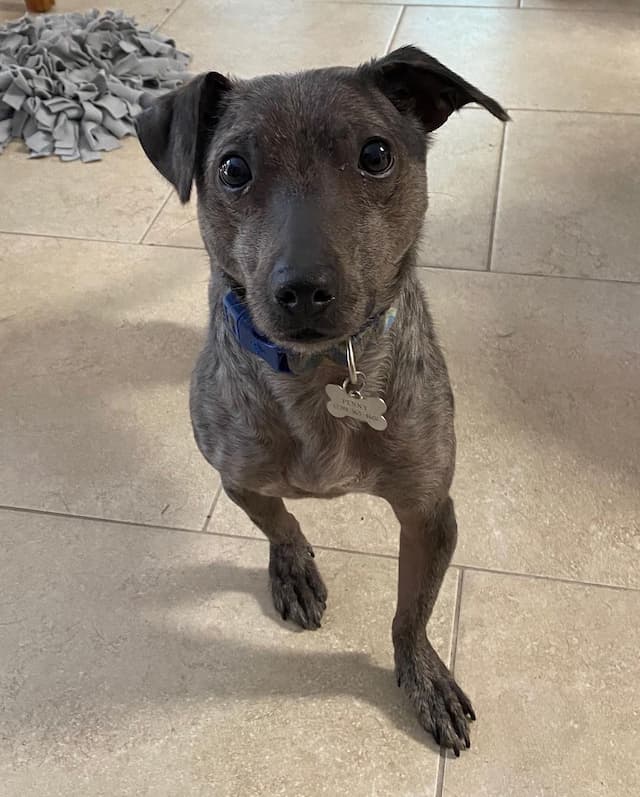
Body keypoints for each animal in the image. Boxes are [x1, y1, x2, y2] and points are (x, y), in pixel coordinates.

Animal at [138, 46, 508, 756]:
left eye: (376, 154)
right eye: (232, 169)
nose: (304, 289)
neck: (321, 378)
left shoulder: (429, 513)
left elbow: (410, 613)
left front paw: (422, 677)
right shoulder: (238, 479)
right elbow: (280, 521)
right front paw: (292, 566)